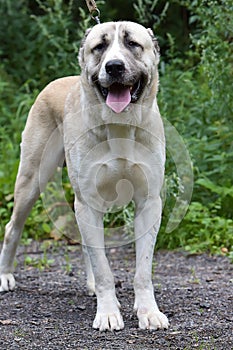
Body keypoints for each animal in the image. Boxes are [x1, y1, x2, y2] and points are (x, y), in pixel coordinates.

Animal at [0, 21, 168, 330]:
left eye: (132, 44)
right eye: (99, 46)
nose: (114, 66)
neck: (119, 125)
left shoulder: (149, 203)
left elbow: (142, 269)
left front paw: (148, 312)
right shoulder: (87, 201)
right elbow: (103, 267)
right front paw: (108, 313)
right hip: (31, 180)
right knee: (12, 228)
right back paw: (5, 276)